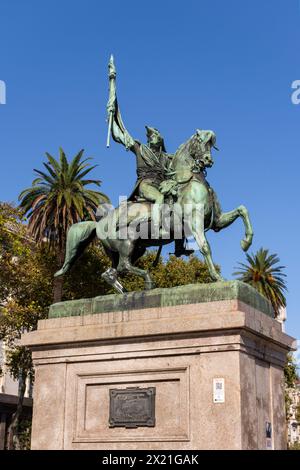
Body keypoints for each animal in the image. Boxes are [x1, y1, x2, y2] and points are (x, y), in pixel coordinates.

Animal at [54, 130, 253, 292]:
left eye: (212, 144)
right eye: (201, 142)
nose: (208, 161)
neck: (189, 181)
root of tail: (98, 223)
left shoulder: (217, 220)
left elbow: (242, 210)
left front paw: (246, 242)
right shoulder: (194, 222)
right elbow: (205, 247)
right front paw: (217, 277)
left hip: (135, 250)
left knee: (112, 272)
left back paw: (124, 291)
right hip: (128, 243)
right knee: (123, 266)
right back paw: (148, 281)